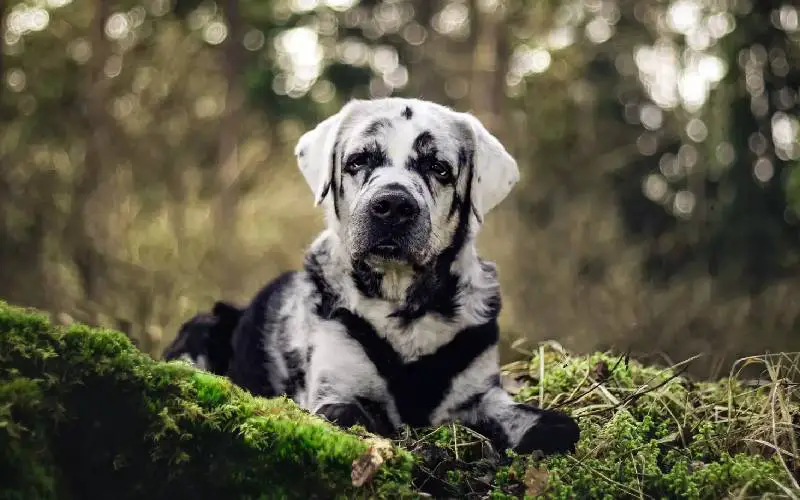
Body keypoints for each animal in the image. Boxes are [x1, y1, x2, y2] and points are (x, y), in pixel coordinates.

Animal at [225, 96, 580, 454]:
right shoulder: (335, 385)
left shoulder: (479, 391)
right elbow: (345, 412)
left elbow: (540, 421)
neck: (404, 307)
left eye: (439, 168)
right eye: (358, 161)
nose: (393, 205)